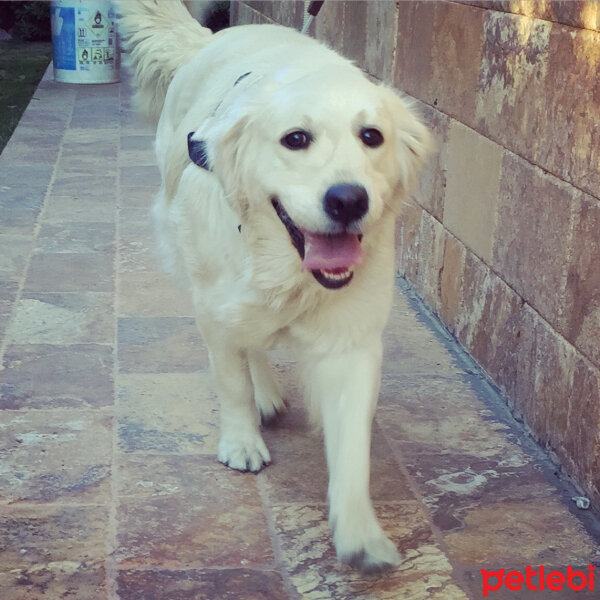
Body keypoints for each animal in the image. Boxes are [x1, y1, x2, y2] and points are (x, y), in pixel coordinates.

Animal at [117, 1, 428, 572]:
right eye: (295, 139)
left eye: (372, 136)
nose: (348, 200)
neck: (287, 264)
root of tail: (212, 39)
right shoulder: (216, 309)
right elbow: (231, 381)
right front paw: (241, 441)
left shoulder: (351, 341)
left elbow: (352, 445)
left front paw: (360, 531)